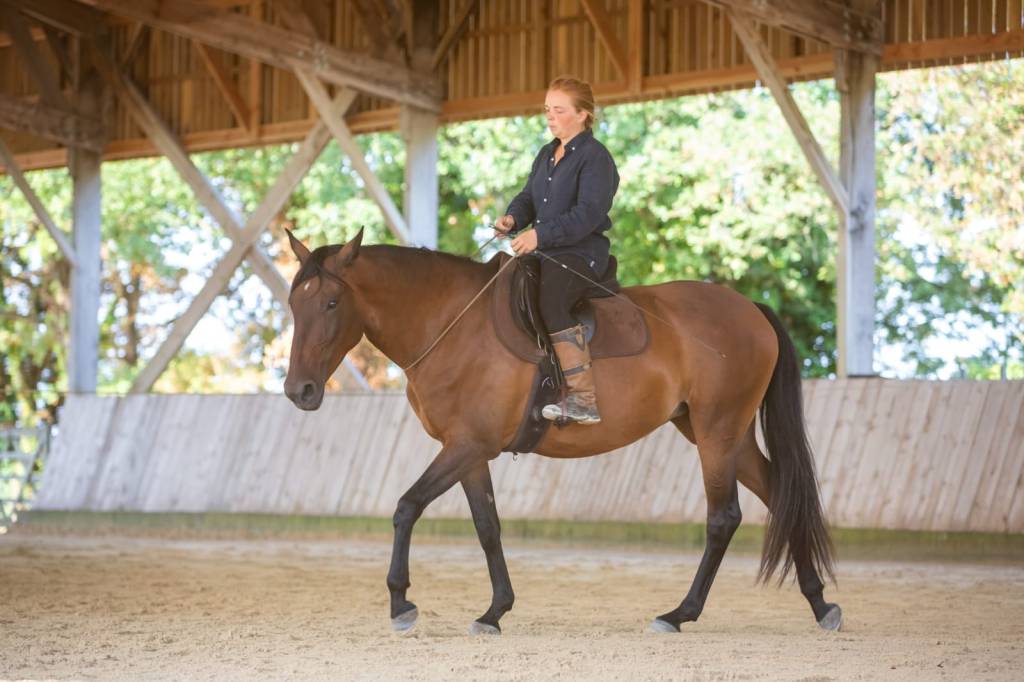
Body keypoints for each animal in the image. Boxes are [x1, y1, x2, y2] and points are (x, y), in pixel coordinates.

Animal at [283, 228, 841, 635]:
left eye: (330, 303)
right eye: (294, 304)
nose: (298, 391)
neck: (452, 323)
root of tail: (751, 310)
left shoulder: (466, 446)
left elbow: (406, 507)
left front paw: (401, 602)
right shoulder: (470, 452)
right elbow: (487, 527)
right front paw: (495, 611)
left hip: (716, 432)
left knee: (723, 518)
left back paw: (679, 614)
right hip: (724, 434)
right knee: (781, 495)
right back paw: (820, 604)